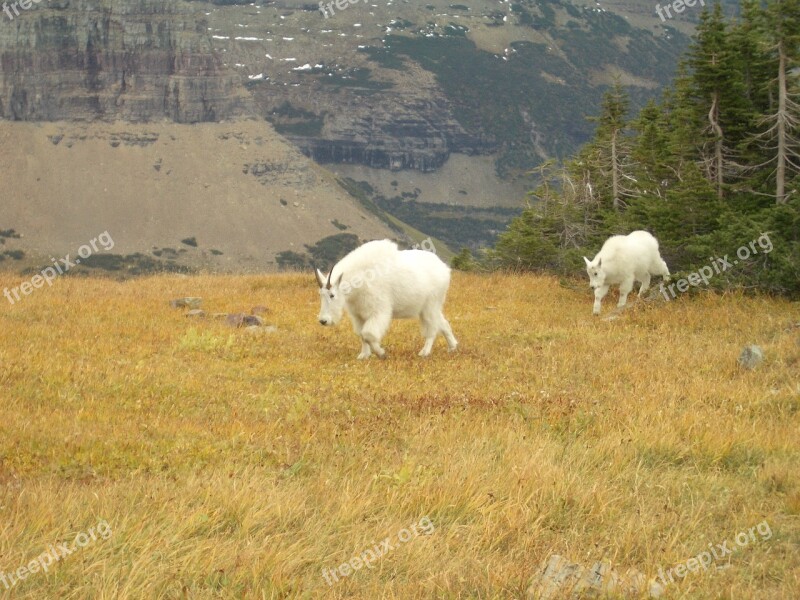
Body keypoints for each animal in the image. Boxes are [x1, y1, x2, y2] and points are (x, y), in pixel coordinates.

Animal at [316, 239, 460, 358]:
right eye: (320, 294)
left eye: (332, 295)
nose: (323, 321)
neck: (361, 279)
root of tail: (445, 268)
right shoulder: (359, 315)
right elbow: (362, 335)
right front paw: (364, 355)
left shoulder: (378, 311)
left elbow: (368, 334)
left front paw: (381, 353)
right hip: (430, 307)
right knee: (443, 323)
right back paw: (453, 347)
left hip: (430, 305)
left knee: (431, 329)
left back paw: (424, 352)